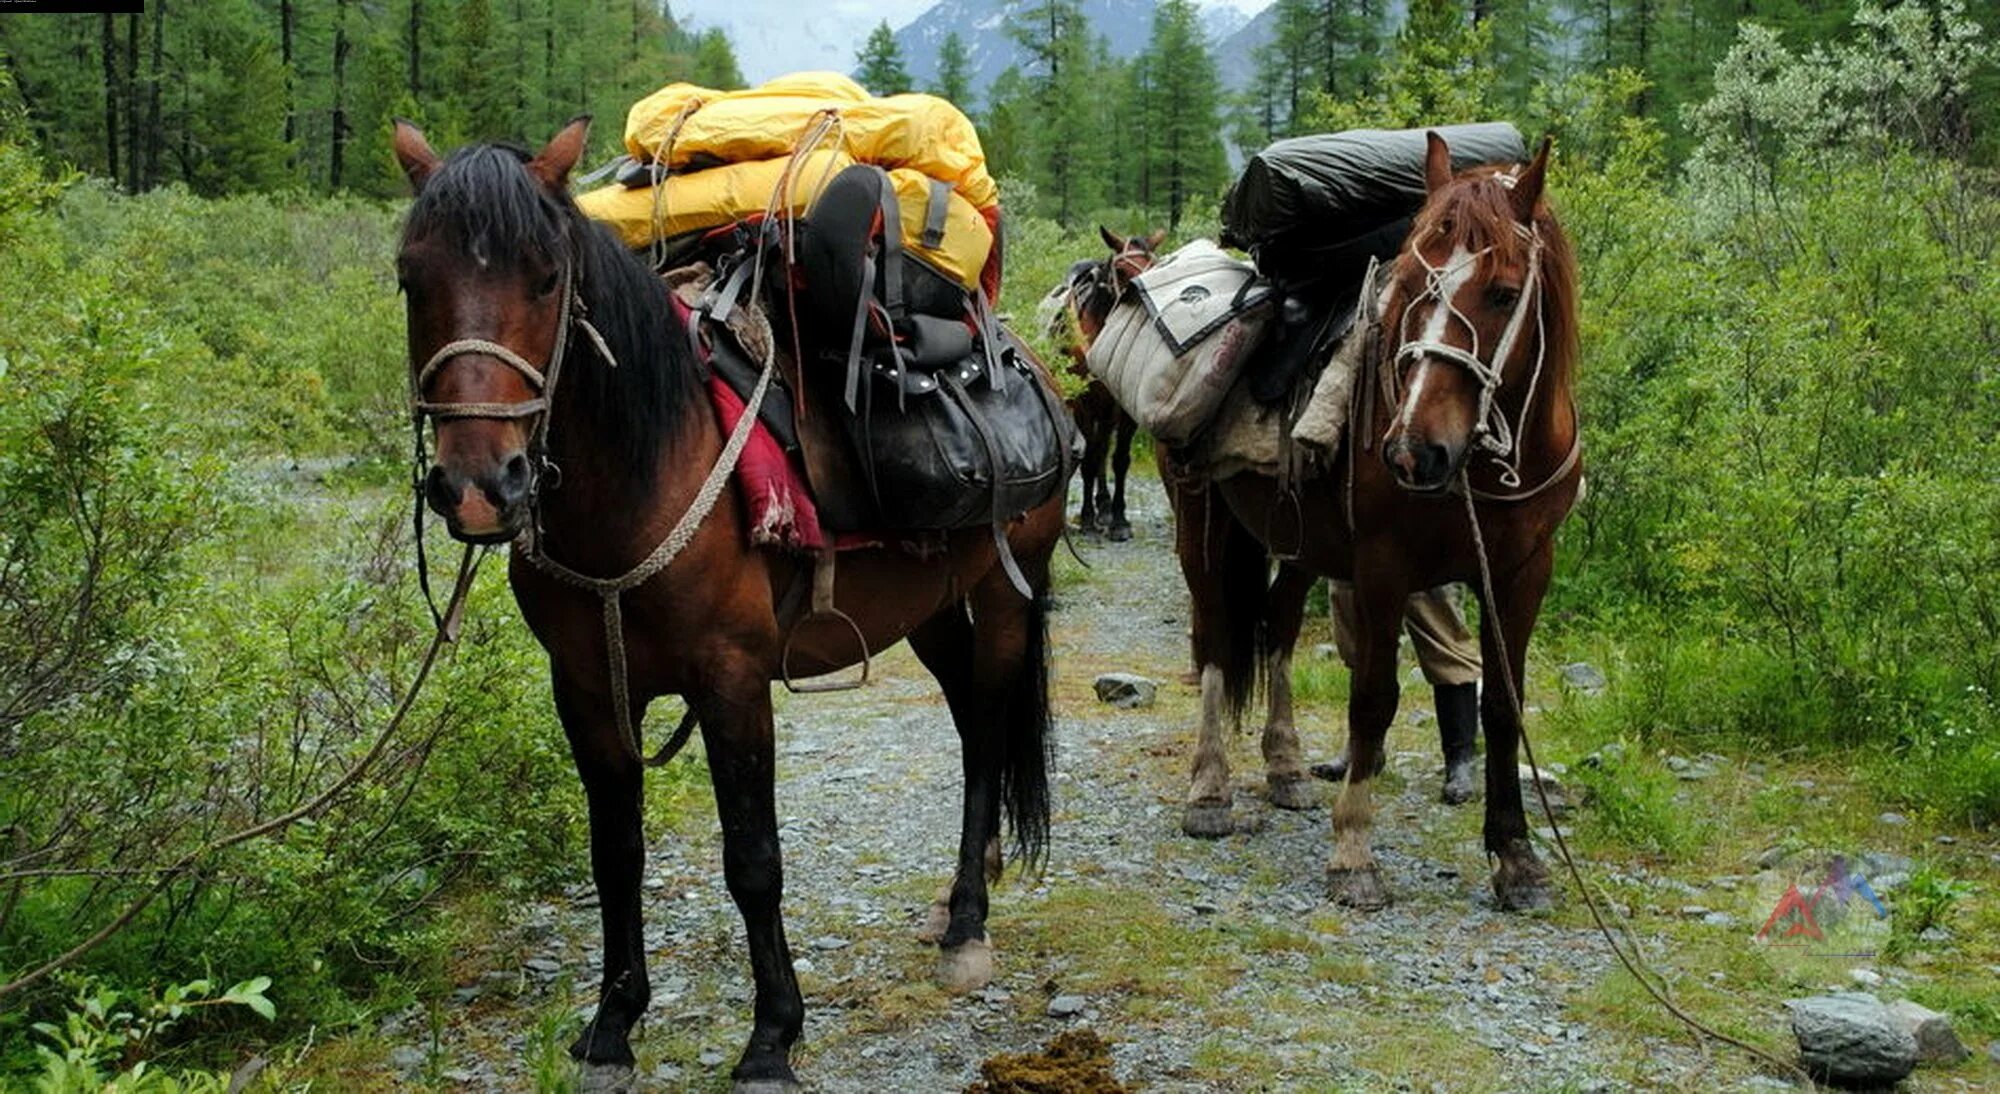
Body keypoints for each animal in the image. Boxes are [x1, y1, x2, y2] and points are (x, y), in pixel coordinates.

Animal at [388, 115, 1064, 1088]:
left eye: (546, 275)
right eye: (413, 277)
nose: (481, 486)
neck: (641, 477)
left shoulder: (731, 679)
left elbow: (753, 858)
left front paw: (772, 1035)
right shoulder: (586, 688)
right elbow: (616, 852)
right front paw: (613, 1022)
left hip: (1009, 594)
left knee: (991, 733)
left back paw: (969, 923)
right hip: (931, 611)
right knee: (977, 727)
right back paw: (955, 903)